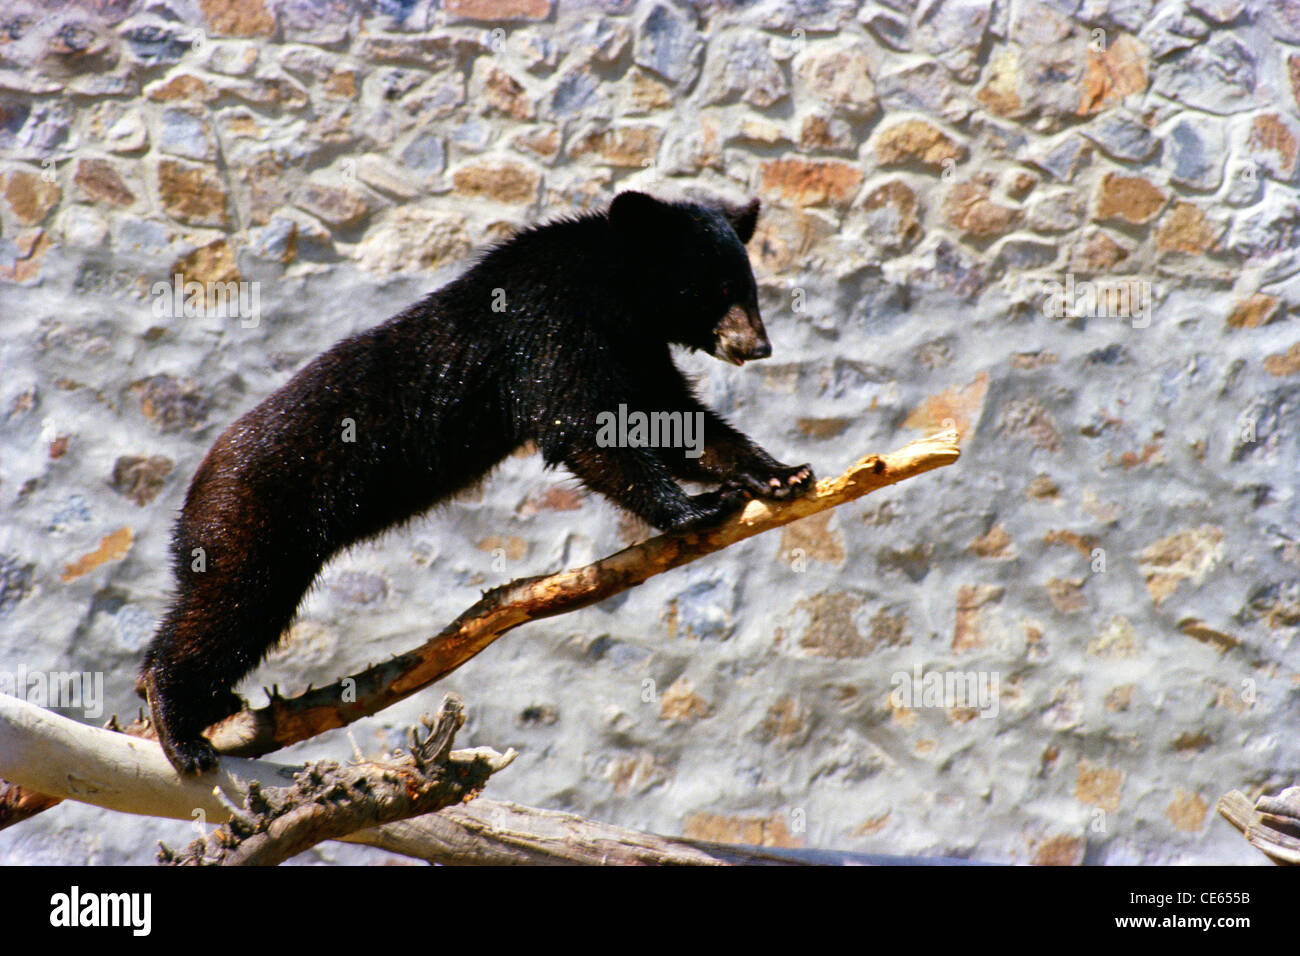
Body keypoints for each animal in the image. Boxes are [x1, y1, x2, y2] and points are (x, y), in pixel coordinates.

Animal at [138, 190, 815, 775]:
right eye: (712, 287)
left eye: (749, 285)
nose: (759, 346)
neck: (615, 292)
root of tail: (194, 492)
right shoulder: (548, 323)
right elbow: (584, 423)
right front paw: (699, 508)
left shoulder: (636, 345)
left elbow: (672, 418)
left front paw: (782, 474)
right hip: (259, 515)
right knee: (229, 606)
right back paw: (179, 728)